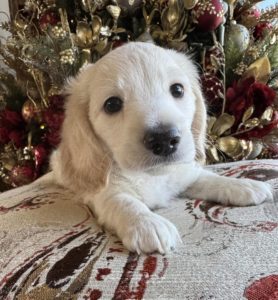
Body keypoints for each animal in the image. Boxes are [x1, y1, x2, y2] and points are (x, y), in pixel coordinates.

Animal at [50, 42, 272, 253]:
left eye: (178, 89)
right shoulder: (102, 194)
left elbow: (207, 177)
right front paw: (146, 223)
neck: (152, 175)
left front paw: (242, 185)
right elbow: (122, 201)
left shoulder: (184, 173)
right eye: (112, 104)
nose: (164, 140)